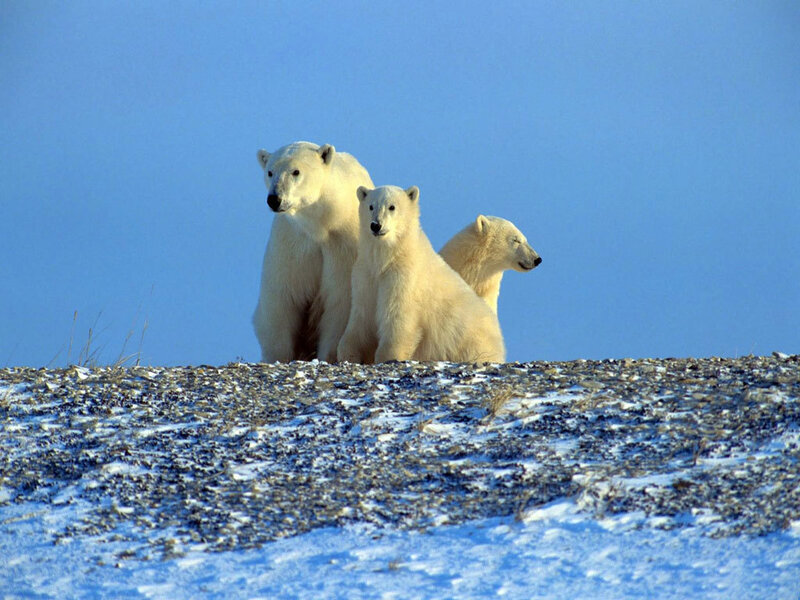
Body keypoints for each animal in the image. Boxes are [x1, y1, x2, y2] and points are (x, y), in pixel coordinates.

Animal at [253, 141, 373, 363]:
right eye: (270, 172)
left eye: (296, 171)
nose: (274, 199)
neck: (321, 225)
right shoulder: (292, 244)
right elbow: (282, 299)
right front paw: (277, 356)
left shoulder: (343, 246)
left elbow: (339, 302)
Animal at [337, 185, 506, 364]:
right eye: (371, 206)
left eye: (392, 207)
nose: (376, 225)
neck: (389, 258)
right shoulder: (366, 275)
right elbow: (361, 316)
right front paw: (348, 353)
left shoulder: (404, 278)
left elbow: (398, 318)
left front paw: (388, 355)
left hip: (471, 341)